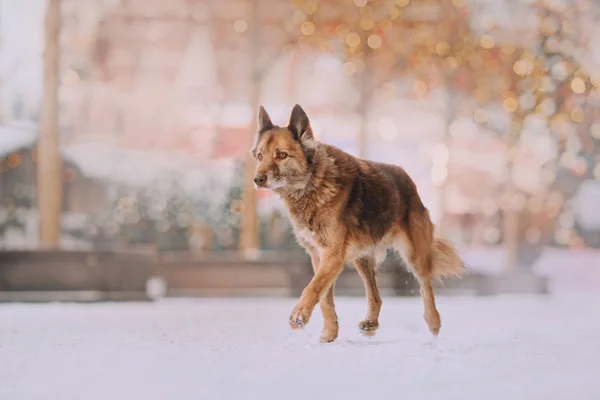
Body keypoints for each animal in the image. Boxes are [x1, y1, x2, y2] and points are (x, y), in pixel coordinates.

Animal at [248, 104, 464, 342]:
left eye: (281, 155)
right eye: (260, 155)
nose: (257, 180)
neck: (313, 184)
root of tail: (407, 179)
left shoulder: (332, 255)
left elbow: (312, 288)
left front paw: (299, 316)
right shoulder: (318, 255)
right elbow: (324, 298)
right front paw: (329, 335)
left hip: (414, 254)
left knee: (426, 285)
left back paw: (433, 321)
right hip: (362, 259)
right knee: (376, 296)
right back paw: (371, 323)